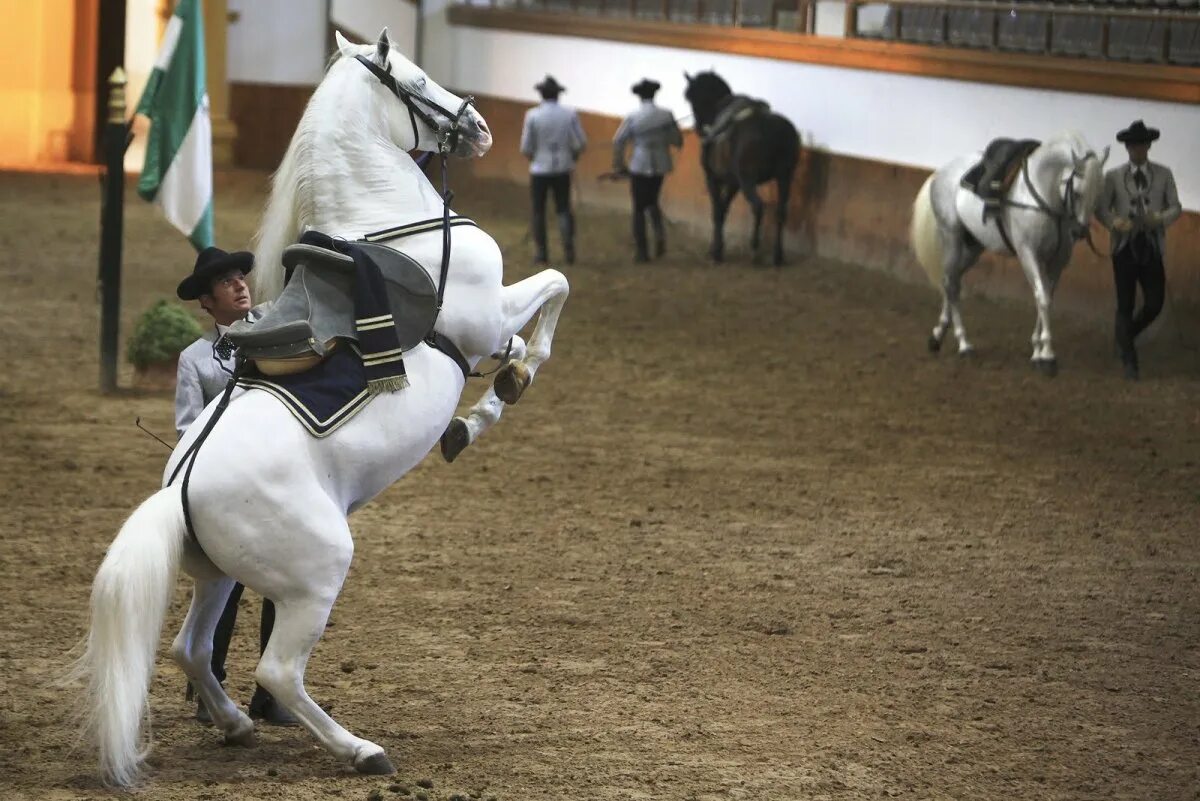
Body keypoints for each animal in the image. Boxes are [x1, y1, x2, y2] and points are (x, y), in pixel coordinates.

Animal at [70, 28, 571, 786]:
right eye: (416, 79)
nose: (480, 126)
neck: (390, 225)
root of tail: (177, 488)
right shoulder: (487, 313)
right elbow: (555, 288)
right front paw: (499, 394)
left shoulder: (490, 326)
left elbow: (529, 326)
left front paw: (495, 391)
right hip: (316, 572)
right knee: (277, 669)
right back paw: (360, 749)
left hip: (222, 576)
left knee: (193, 648)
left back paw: (238, 725)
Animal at [681, 71, 801, 266]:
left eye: (691, 97)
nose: (698, 128)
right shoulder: (733, 182)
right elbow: (724, 209)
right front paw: (717, 248)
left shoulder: (713, 178)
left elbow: (717, 211)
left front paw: (717, 252)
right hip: (785, 177)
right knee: (781, 211)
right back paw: (777, 256)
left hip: (749, 180)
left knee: (758, 206)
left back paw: (754, 250)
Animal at [907, 130, 1104, 374]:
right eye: (1076, 193)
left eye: (1098, 193)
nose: (1079, 231)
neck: (1044, 194)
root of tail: (939, 173)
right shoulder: (1028, 253)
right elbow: (1042, 297)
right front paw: (1047, 355)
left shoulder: (1057, 261)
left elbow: (1046, 297)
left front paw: (1037, 351)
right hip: (951, 236)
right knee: (951, 284)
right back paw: (964, 344)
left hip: (974, 247)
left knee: (950, 280)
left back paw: (938, 335)